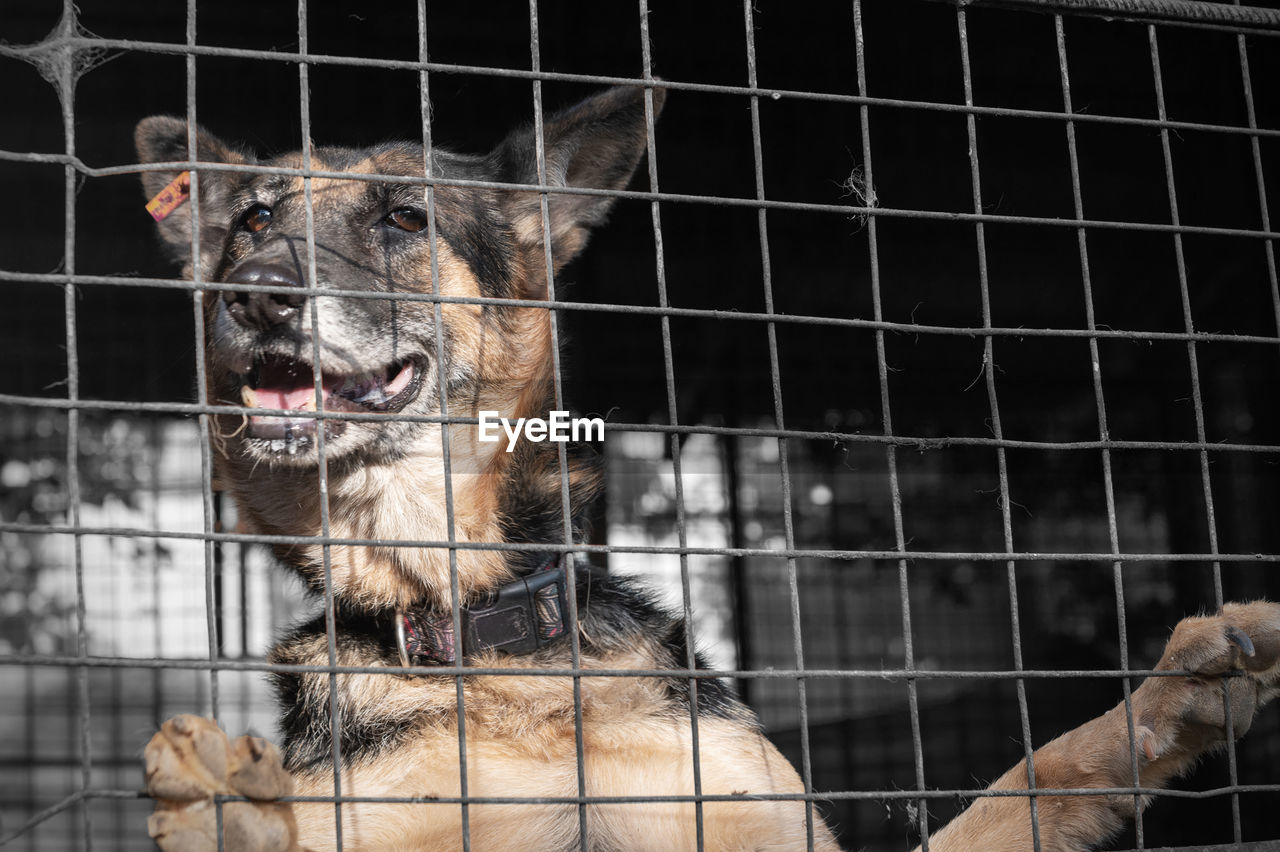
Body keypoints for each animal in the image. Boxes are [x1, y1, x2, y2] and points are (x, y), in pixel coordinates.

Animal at [137, 86, 1280, 849]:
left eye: (403, 217)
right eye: (253, 219)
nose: (251, 292)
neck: (485, 645)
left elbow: (1030, 779)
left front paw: (1171, 696)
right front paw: (223, 807)